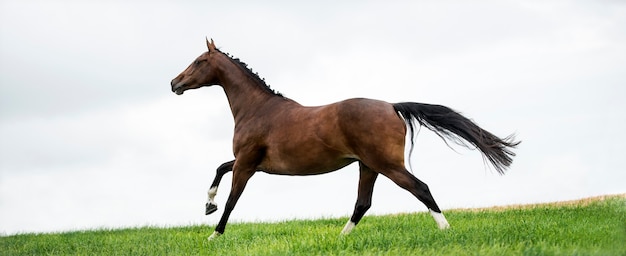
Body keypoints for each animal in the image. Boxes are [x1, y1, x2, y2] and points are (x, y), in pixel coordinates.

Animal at [169, 38, 516, 240]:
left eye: (199, 61)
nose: (174, 83)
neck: (257, 109)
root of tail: (392, 106)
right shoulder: (250, 162)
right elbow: (219, 169)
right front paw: (208, 205)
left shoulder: (246, 164)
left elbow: (232, 198)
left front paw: (214, 234)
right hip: (368, 166)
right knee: (363, 203)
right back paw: (341, 238)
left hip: (387, 165)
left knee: (421, 188)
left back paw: (446, 231)